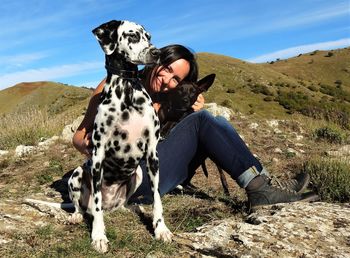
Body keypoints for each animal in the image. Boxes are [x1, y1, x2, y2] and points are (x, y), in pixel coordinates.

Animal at [67, 19, 172, 252]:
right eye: (132, 35)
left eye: (149, 37)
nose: (157, 52)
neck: (128, 91)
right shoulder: (97, 156)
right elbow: (96, 202)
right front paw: (98, 235)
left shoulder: (152, 154)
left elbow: (157, 198)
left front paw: (160, 229)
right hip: (77, 174)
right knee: (85, 208)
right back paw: (77, 216)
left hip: (138, 174)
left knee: (121, 204)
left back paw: (129, 209)